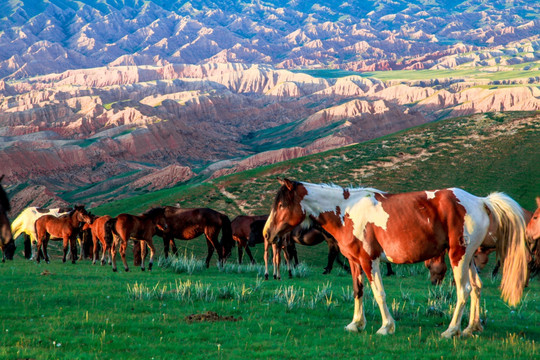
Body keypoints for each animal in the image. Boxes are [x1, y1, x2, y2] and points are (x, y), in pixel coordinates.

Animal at [262, 179, 528, 338]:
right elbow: (358, 291)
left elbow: (378, 293)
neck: (346, 210)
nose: (267, 234)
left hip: (458, 257)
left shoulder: (369, 260)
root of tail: (481, 201)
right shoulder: (354, 261)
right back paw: (472, 328)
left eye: (282, 205)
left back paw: (451, 330)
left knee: (463, 291)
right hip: (469, 257)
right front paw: (356, 324)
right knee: (476, 288)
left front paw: (385, 327)